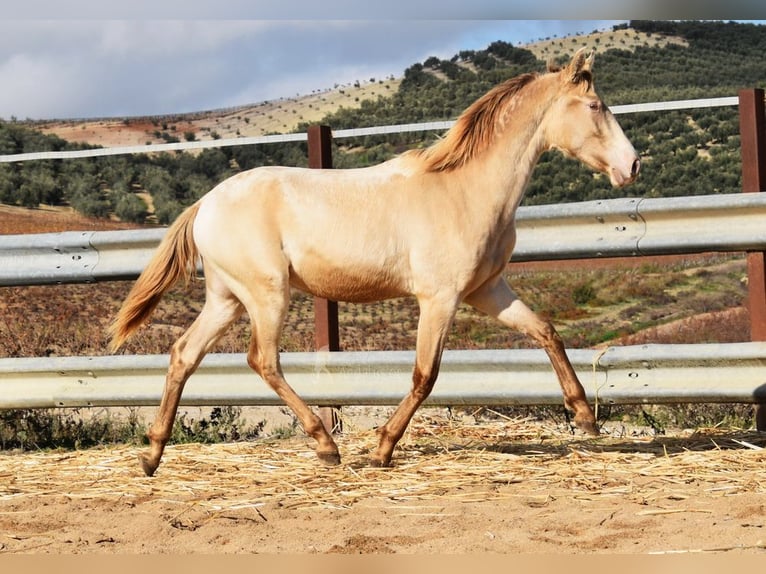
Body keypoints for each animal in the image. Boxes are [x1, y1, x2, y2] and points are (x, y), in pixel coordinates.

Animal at [109, 49, 640, 476]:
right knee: (263, 360)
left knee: (184, 354)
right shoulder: (439, 298)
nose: (632, 165)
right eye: (595, 106)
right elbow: (426, 375)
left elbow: (546, 330)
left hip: (227, 299)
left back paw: (152, 455)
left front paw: (584, 417)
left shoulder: (486, 290)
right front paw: (383, 448)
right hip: (266, 295)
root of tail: (205, 203)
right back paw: (326, 446)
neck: (465, 189)